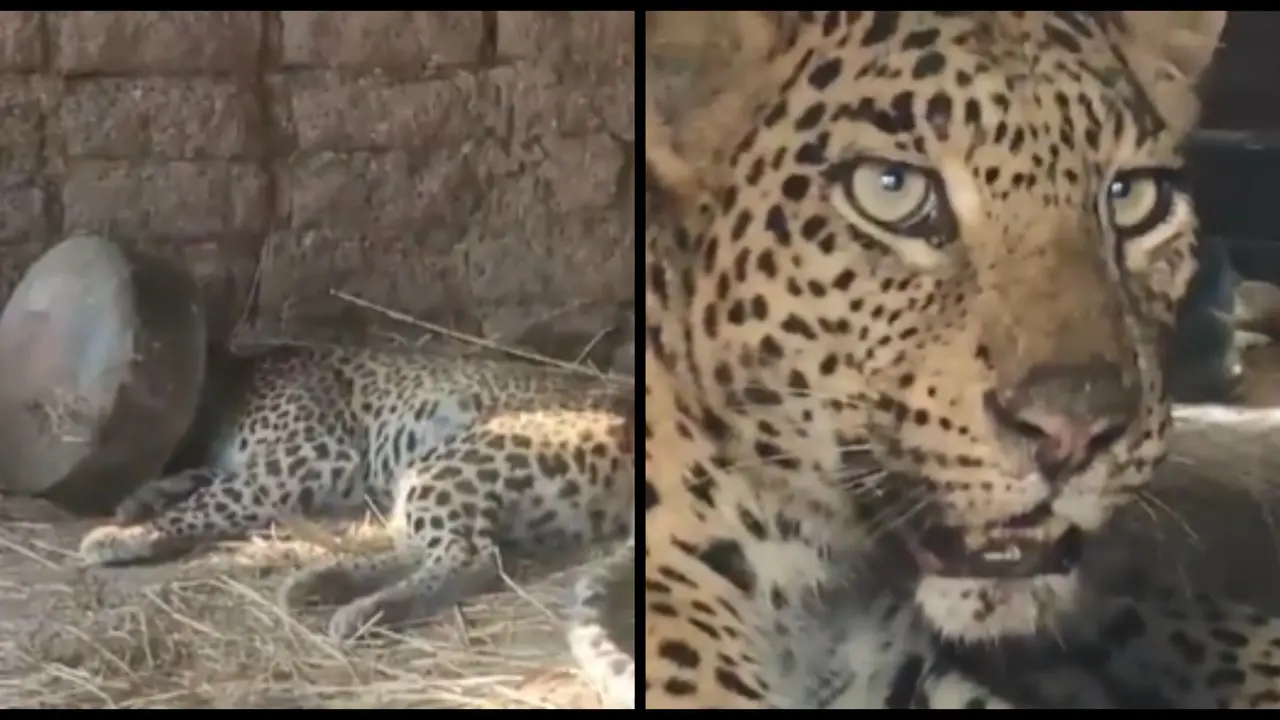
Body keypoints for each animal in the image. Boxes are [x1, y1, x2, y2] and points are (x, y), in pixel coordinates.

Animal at [77, 343, 634, 642]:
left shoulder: (308, 461)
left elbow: (208, 502)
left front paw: (124, 535)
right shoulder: (263, 467)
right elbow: (206, 481)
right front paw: (141, 500)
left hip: (450, 464)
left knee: (471, 556)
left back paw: (361, 611)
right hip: (435, 483)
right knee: (429, 548)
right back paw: (321, 582)